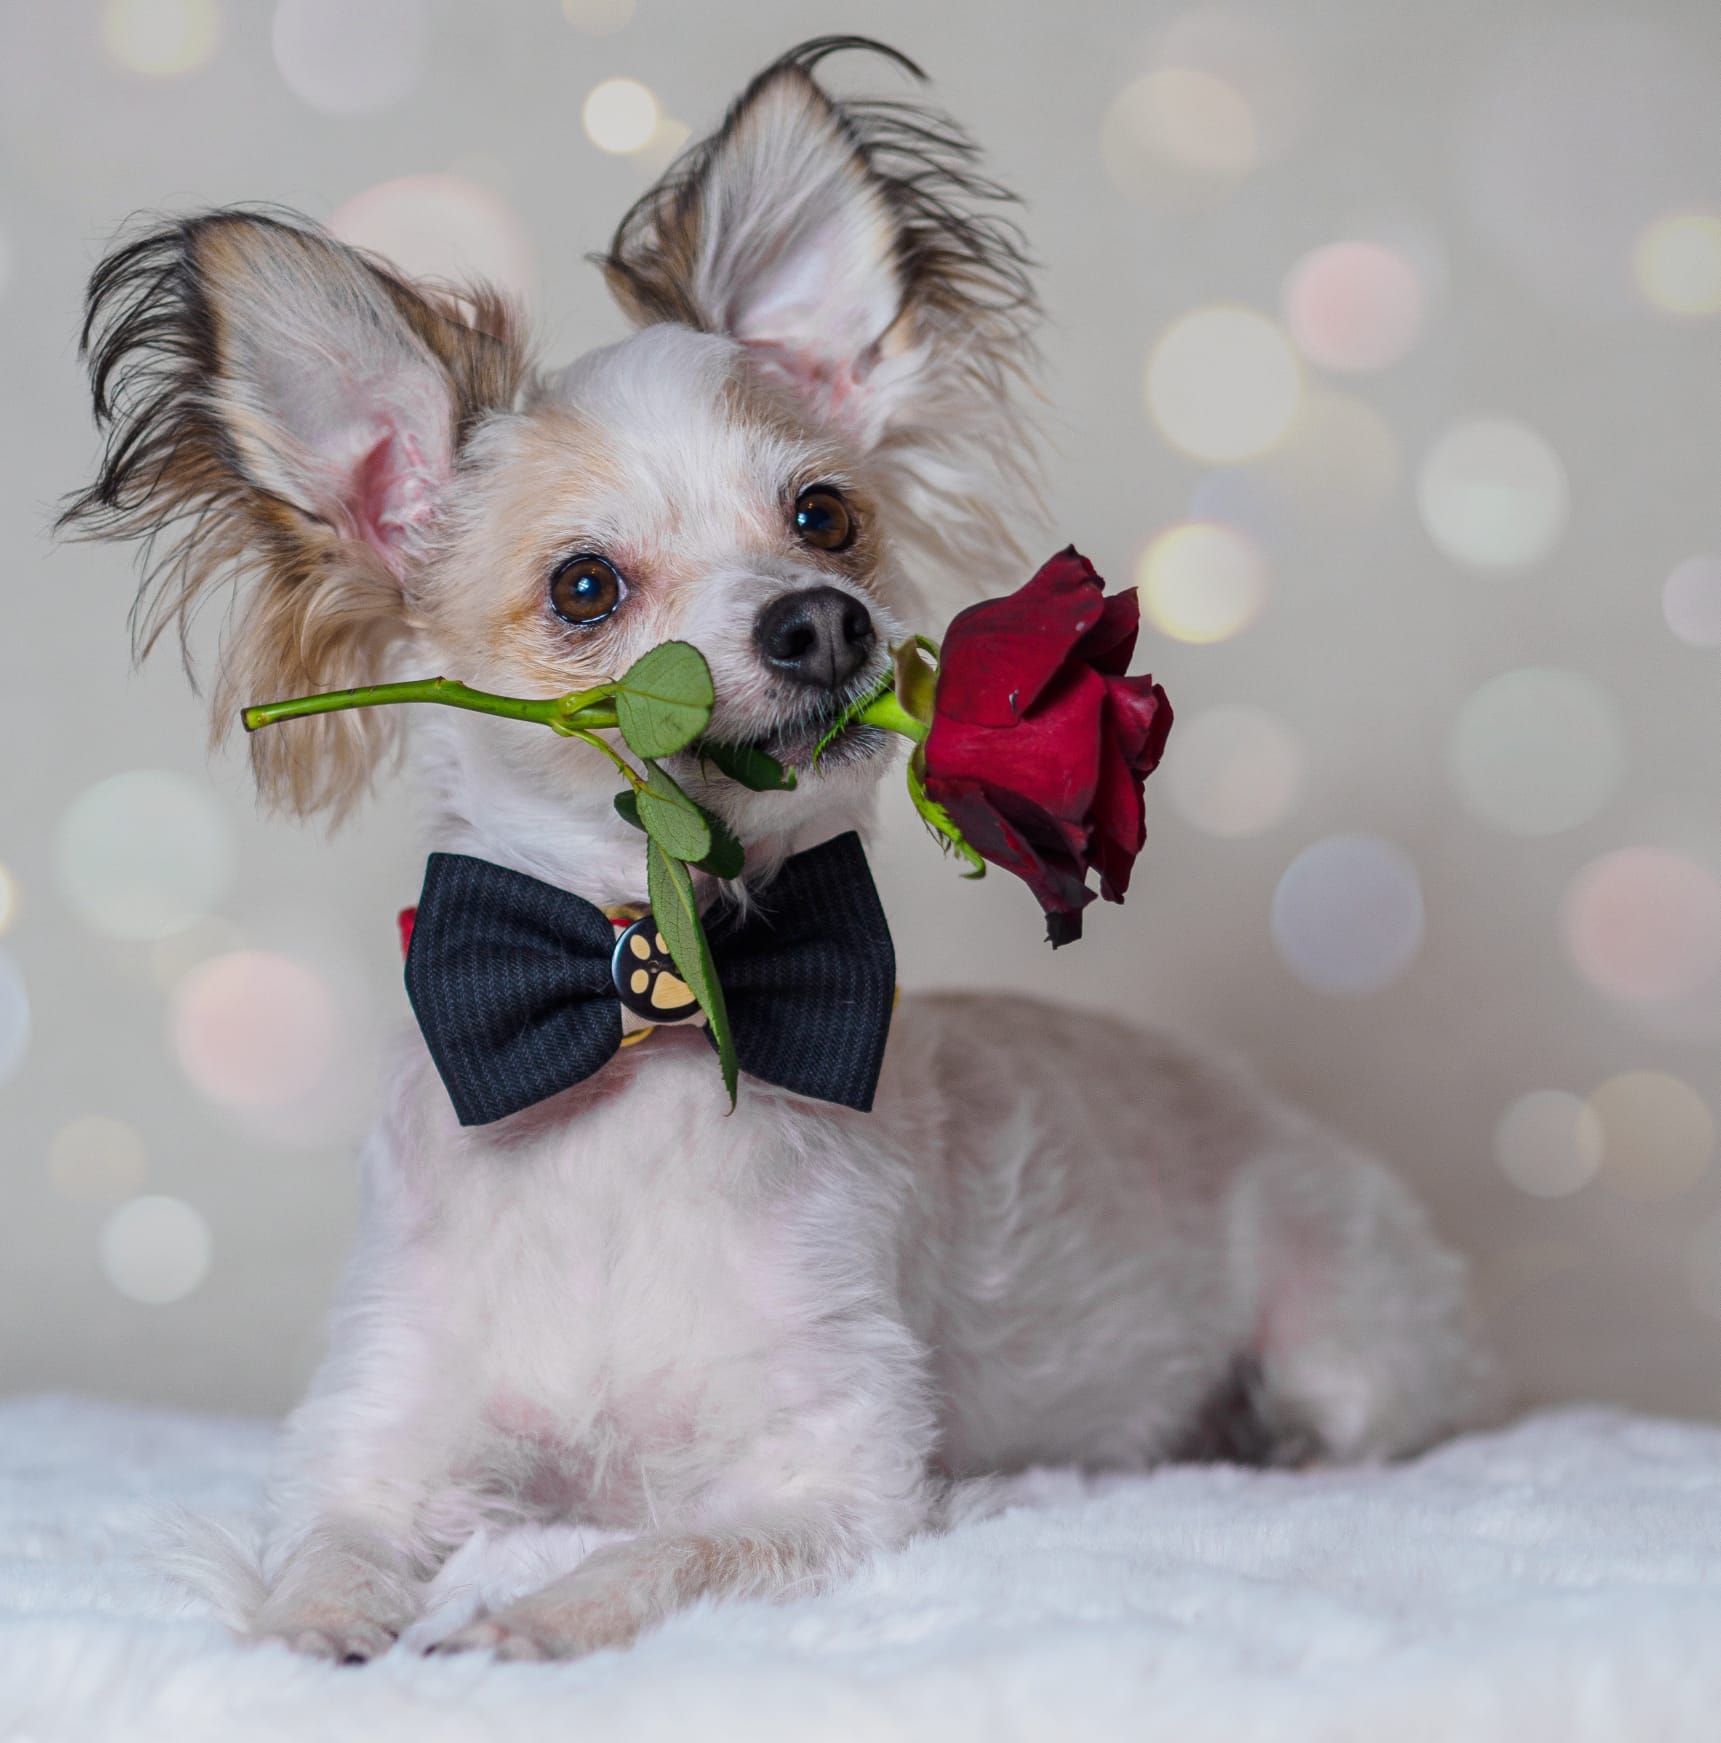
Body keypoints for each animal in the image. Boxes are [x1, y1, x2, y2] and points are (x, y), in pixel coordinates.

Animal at [60, 30, 1499, 1659]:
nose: (824, 620)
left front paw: (516, 1627)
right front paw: (320, 1630)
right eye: (582, 586)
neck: (645, 1010)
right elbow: (327, 1554)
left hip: (1348, 1340)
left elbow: (656, 1556)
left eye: (825, 517)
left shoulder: (833, 1487)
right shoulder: (372, 1439)